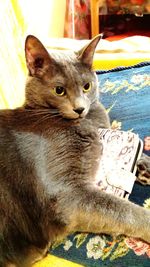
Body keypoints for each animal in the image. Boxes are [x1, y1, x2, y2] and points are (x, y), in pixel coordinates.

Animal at [0, 35, 150, 267]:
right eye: (59, 90)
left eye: (87, 86)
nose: (80, 108)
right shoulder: (68, 194)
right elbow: (124, 209)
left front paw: (145, 166)